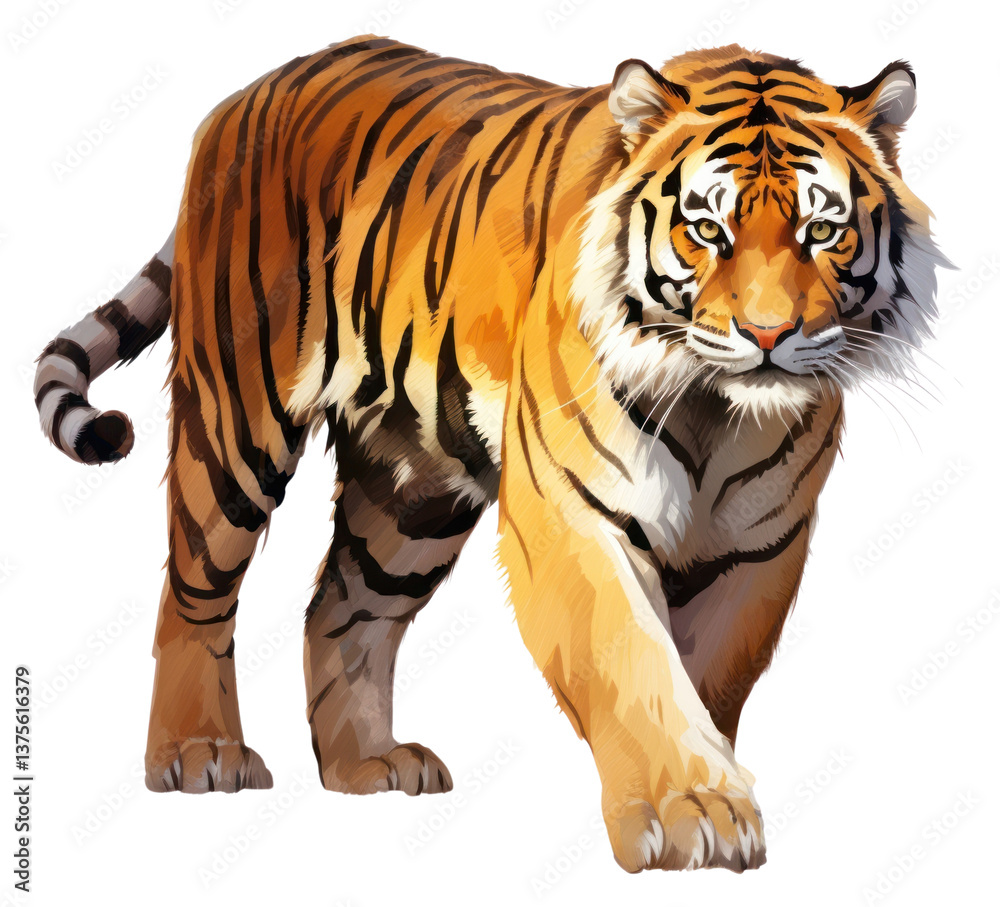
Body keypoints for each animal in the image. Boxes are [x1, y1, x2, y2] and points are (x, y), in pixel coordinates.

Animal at [34, 36, 944, 873]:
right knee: (193, 590)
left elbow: (706, 676)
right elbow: (632, 662)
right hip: (235, 420)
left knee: (340, 606)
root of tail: (254, 87)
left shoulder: (758, 548)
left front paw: (707, 787)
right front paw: (694, 809)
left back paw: (366, 763)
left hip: (409, 493)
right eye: (706, 228)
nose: (767, 334)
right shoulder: (575, 514)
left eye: (822, 230)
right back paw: (197, 752)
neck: (715, 407)